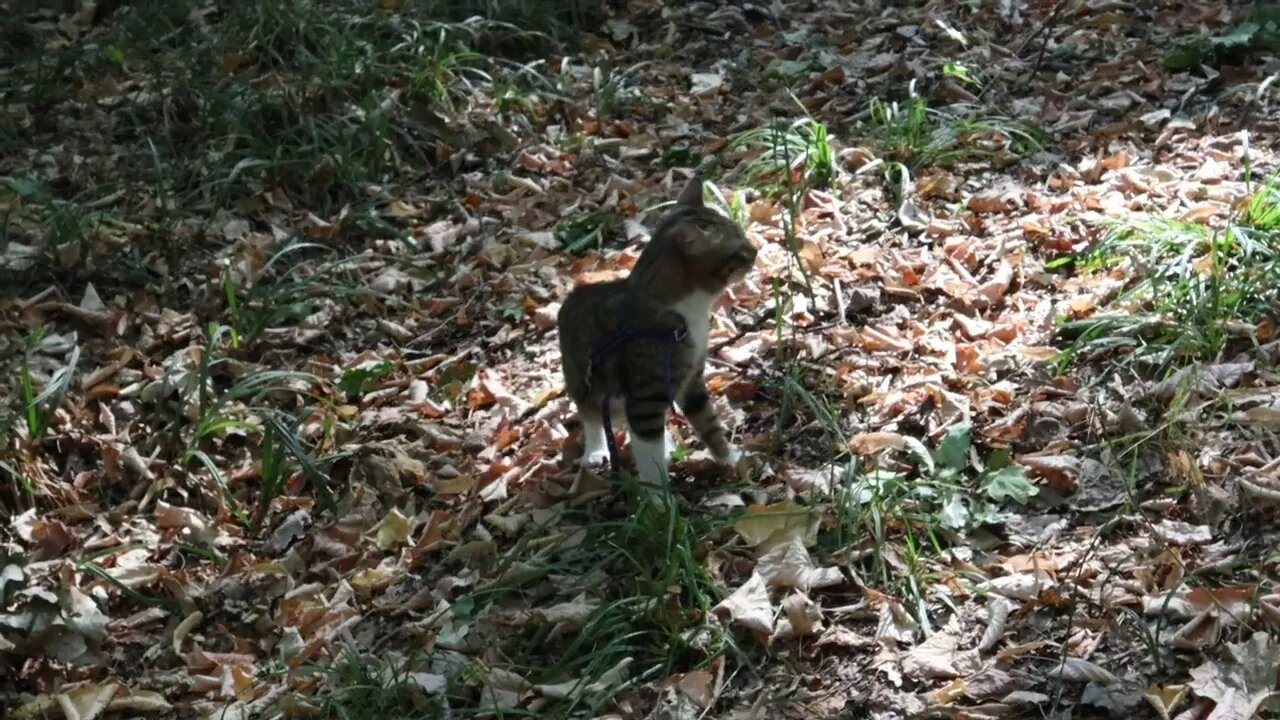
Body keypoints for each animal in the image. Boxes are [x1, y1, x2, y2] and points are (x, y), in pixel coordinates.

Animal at [555, 174, 752, 486]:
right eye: (739, 252)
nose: (755, 251)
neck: (688, 313)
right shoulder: (646, 397)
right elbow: (649, 455)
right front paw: (661, 498)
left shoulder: (692, 382)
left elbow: (709, 424)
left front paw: (729, 459)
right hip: (581, 380)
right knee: (591, 415)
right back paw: (596, 450)